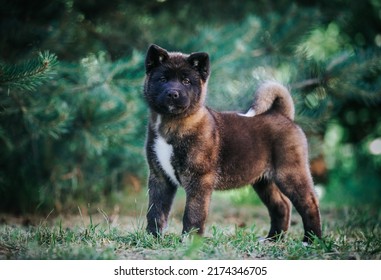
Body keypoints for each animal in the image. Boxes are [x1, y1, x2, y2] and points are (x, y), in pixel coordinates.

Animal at [142, 44, 320, 243]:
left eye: (186, 81)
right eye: (163, 79)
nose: (173, 93)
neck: (172, 123)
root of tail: (281, 114)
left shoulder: (199, 179)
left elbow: (192, 213)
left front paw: (190, 241)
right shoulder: (160, 177)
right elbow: (155, 210)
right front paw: (152, 237)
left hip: (290, 172)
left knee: (309, 203)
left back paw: (311, 240)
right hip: (263, 181)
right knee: (281, 205)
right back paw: (273, 239)